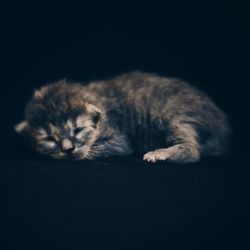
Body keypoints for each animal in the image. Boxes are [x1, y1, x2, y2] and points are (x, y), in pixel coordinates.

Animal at [14, 71, 231, 163]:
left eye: (78, 129)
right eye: (49, 138)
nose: (68, 149)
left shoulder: (119, 139)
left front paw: (82, 152)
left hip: (175, 116)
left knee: (192, 150)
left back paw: (161, 153)